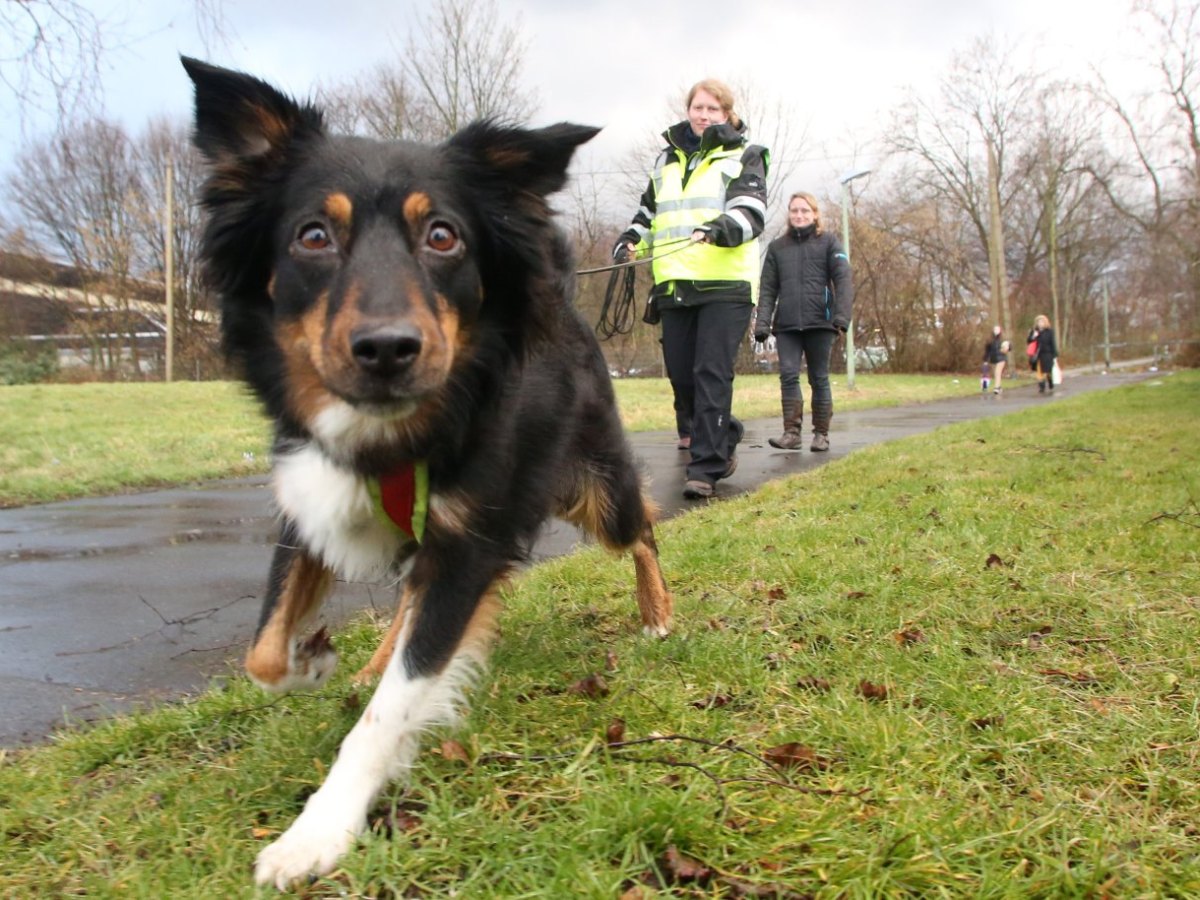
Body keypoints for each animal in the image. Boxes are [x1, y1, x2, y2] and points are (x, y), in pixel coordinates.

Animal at [181, 58, 672, 897]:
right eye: (313, 235)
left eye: (442, 235)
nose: (387, 349)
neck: (389, 433)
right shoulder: (309, 502)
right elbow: (263, 653)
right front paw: (313, 660)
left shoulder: (470, 544)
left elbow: (390, 710)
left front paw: (317, 832)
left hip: (592, 486)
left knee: (642, 529)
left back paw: (658, 613)